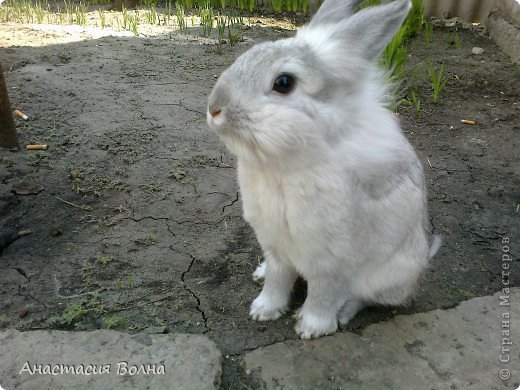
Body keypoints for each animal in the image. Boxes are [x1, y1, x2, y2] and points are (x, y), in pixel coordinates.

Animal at [205, 0, 440, 338]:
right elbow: (277, 279)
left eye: (284, 83)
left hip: (389, 275)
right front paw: (263, 311)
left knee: (365, 297)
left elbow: (323, 293)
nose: (214, 109)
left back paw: (343, 314)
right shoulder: (276, 247)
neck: (283, 165)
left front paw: (311, 328)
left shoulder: (330, 261)